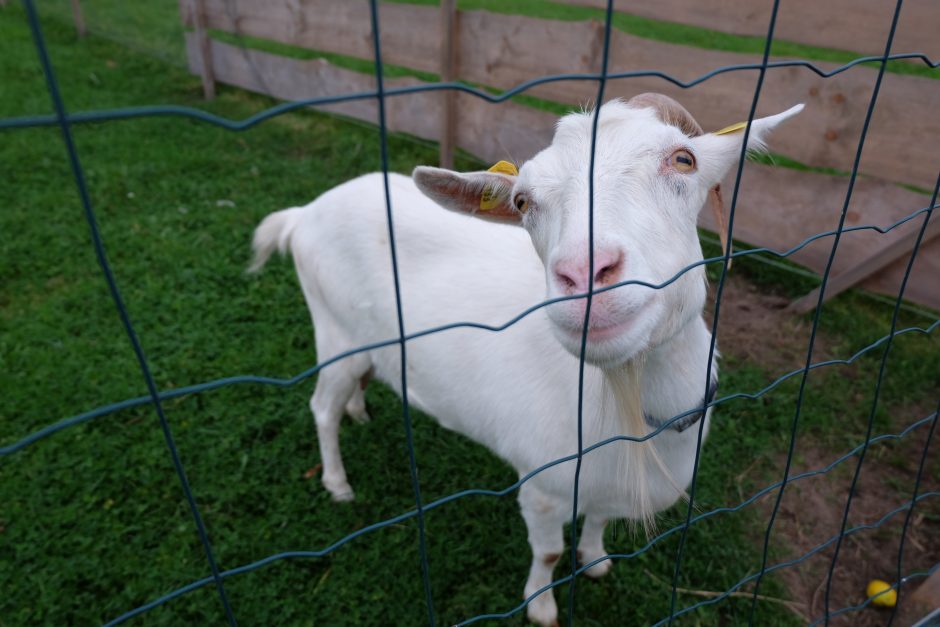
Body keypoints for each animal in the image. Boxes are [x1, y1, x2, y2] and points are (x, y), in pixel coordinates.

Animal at [248, 94, 800, 627]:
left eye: (684, 160)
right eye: (522, 201)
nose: (584, 275)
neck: (631, 416)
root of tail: (304, 212)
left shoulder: (606, 485)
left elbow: (599, 521)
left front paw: (596, 560)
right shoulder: (543, 485)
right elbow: (550, 553)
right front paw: (540, 606)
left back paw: (359, 411)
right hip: (334, 332)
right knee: (322, 407)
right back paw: (338, 483)